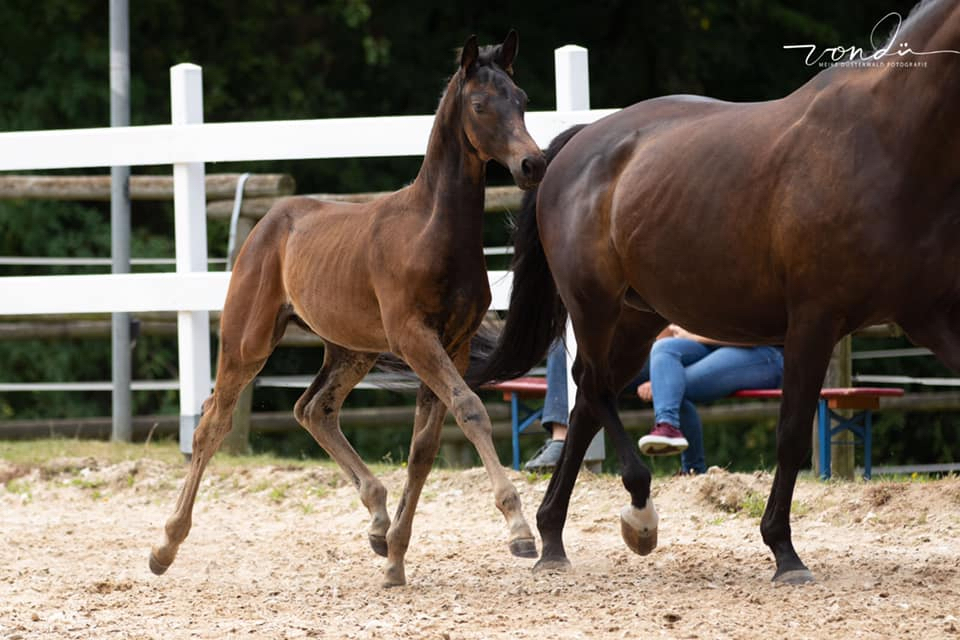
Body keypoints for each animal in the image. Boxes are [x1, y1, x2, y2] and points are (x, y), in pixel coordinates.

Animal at [470, 2, 960, 584]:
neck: (888, 140)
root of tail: (571, 148)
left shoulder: (930, 314)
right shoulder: (814, 320)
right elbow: (791, 434)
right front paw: (784, 552)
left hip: (637, 318)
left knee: (589, 396)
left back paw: (552, 538)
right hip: (594, 304)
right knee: (594, 387)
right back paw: (636, 516)